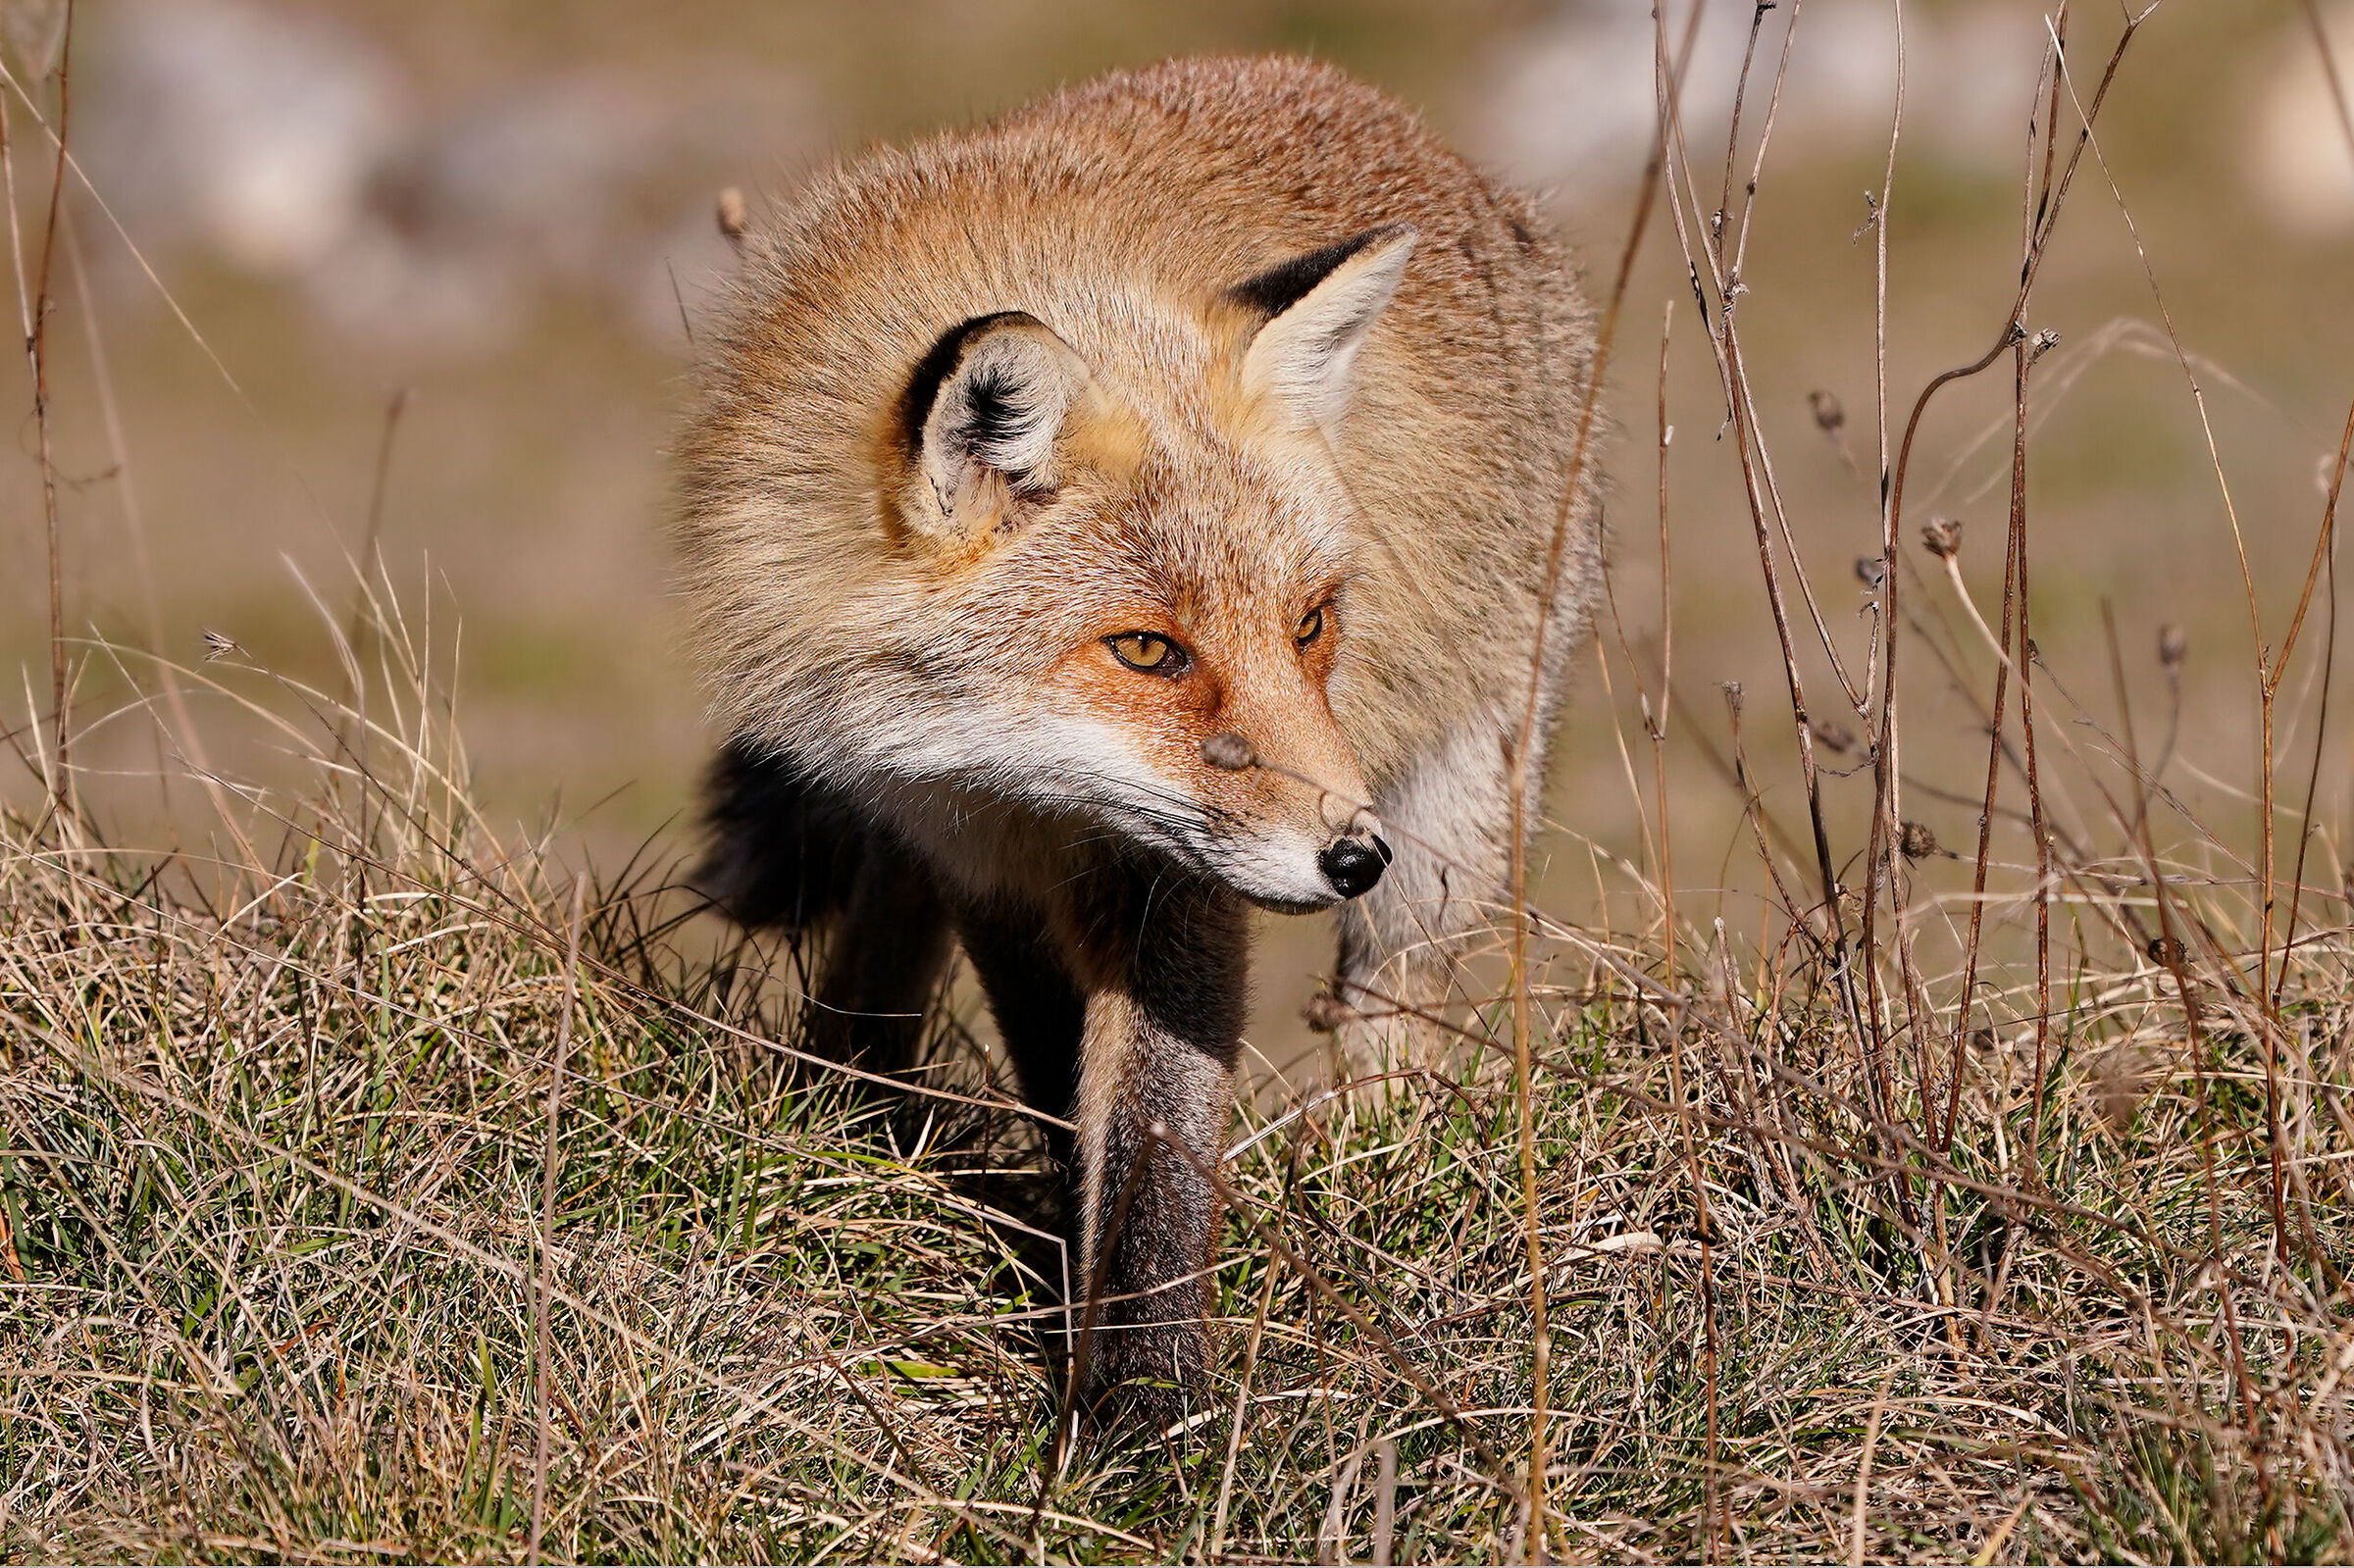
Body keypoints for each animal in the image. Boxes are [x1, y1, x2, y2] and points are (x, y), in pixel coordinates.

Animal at [674, 54, 1600, 1425]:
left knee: (1393, 1022)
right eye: (1150, 651)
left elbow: (1157, 1155)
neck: (1023, 785)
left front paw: (1148, 1425)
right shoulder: (979, 846)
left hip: (1455, 823)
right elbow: (1061, 1073)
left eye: (1310, 625)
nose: (1351, 856)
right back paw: (849, 1082)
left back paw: (1376, 1186)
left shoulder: (1175, 879)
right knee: (889, 920)